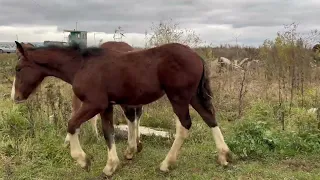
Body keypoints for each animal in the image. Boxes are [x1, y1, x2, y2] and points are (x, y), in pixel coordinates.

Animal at [10, 40, 230, 177]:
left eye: (18, 69)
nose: (15, 97)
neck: (82, 66)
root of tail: (197, 56)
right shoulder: (106, 106)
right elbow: (108, 132)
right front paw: (111, 166)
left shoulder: (94, 104)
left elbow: (72, 124)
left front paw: (83, 160)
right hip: (192, 96)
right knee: (210, 117)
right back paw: (224, 156)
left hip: (179, 97)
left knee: (184, 125)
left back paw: (166, 164)